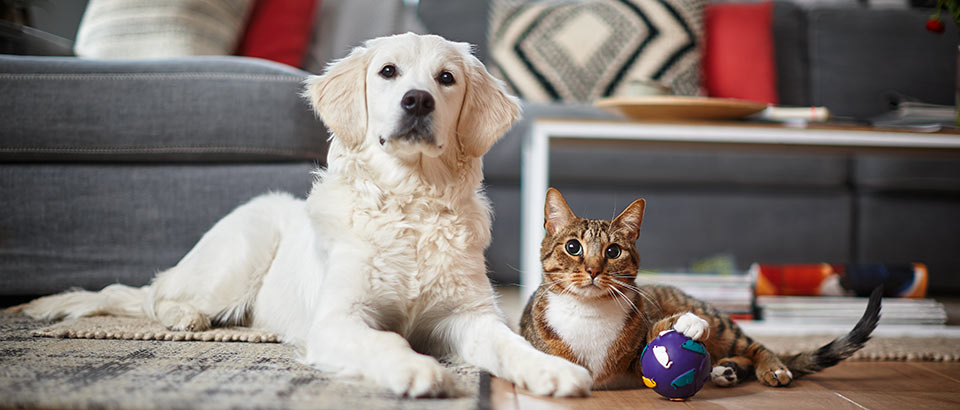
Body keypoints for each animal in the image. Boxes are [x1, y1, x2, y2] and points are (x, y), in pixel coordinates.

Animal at [16, 33, 592, 398]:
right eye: (388, 71)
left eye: (446, 78)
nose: (417, 101)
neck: (410, 202)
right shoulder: (338, 318)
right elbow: (384, 339)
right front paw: (413, 368)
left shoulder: (468, 314)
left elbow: (507, 341)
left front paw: (549, 369)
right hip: (241, 251)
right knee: (153, 294)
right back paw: (184, 317)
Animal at [520, 187, 880, 390]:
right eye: (573, 247)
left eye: (613, 251)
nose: (594, 270)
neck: (588, 312)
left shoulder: (637, 361)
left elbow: (653, 338)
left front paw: (684, 322)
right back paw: (726, 370)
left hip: (722, 325)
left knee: (757, 345)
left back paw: (769, 367)